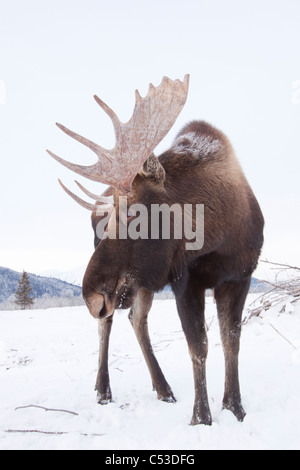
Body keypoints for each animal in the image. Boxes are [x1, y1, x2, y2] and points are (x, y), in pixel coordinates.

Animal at [47, 74, 262, 426]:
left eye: (132, 213)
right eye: (108, 219)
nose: (90, 297)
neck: (219, 235)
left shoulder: (238, 277)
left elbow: (232, 340)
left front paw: (235, 407)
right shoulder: (186, 282)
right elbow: (199, 346)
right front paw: (201, 418)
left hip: (140, 282)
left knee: (136, 318)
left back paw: (163, 389)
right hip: (129, 286)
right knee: (108, 323)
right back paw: (103, 389)